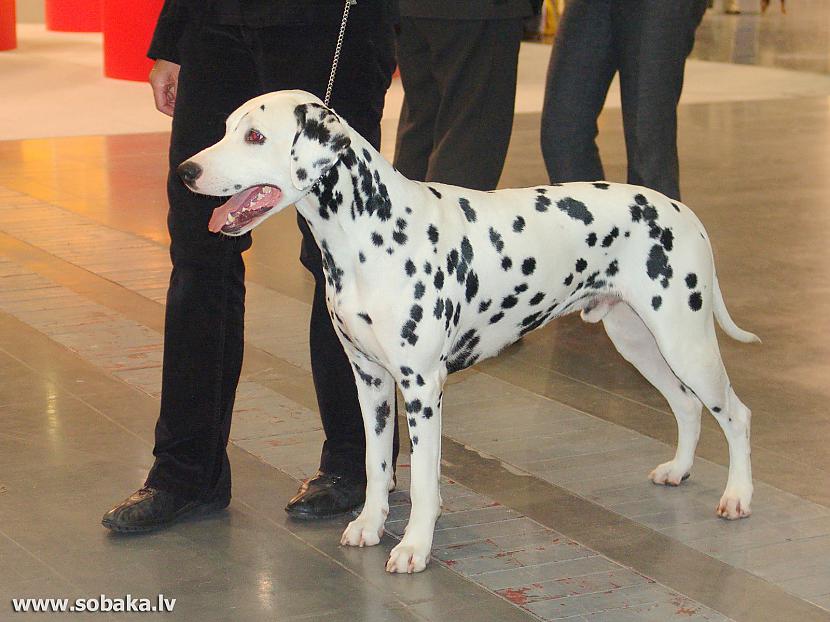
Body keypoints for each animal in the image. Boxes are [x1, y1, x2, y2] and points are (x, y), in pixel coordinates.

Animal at [180, 89, 760, 576]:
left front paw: (414, 547)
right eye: (228, 128)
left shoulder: (421, 388)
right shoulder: (370, 381)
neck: (372, 233)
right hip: (639, 342)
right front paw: (369, 524)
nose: (186, 170)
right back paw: (679, 470)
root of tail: (683, 211)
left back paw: (738, 496)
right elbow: (376, 464)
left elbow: (424, 479)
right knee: (686, 405)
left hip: (686, 342)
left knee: (735, 414)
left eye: (256, 137)